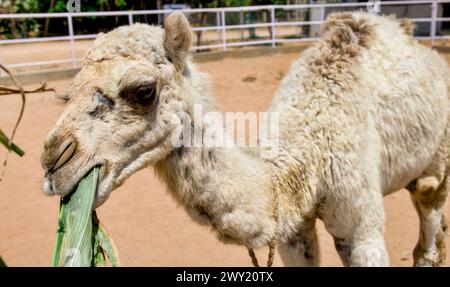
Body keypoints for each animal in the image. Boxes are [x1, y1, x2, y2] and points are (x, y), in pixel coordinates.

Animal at [40, 11, 448, 268]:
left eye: (143, 90)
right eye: (65, 94)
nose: (53, 163)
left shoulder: (363, 228)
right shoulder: (292, 234)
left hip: (439, 156)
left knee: (429, 211)